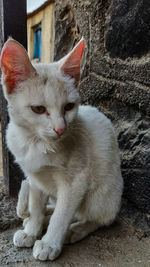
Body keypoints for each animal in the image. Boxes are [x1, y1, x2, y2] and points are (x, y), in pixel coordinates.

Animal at [0, 38, 123, 262]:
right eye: (38, 109)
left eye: (69, 107)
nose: (61, 129)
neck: (36, 143)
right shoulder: (34, 177)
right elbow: (36, 205)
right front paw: (32, 230)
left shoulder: (76, 182)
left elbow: (62, 214)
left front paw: (49, 243)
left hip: (102, 193)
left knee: (100, 218)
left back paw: (75, 230)